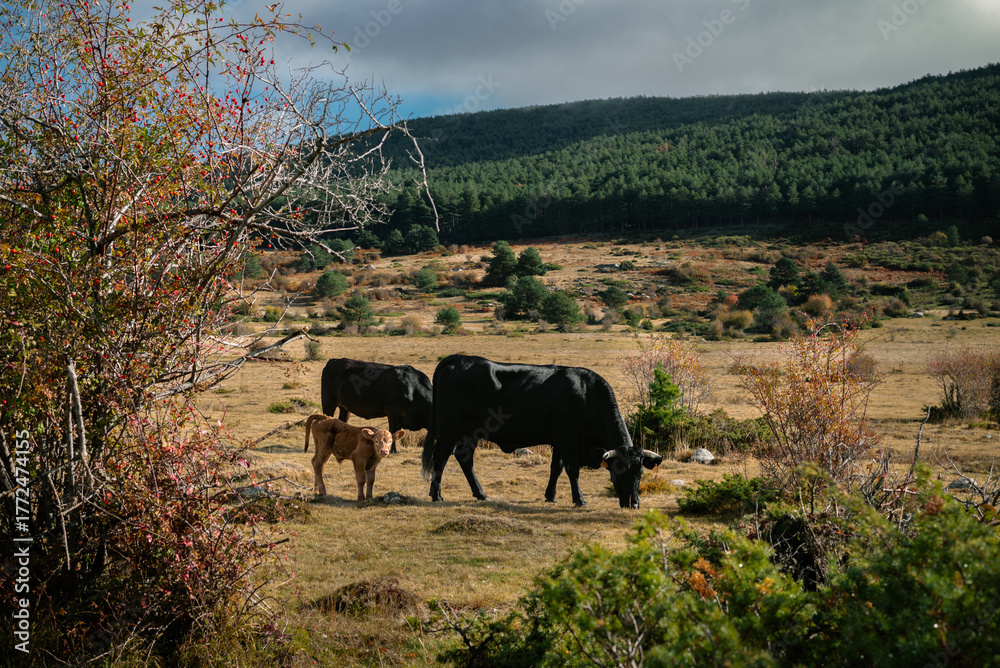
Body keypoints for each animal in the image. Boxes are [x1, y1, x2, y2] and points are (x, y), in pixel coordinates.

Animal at [421, 354, 662, 509]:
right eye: (619, 471)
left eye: (640, 473)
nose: (634, 504)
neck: (587, 394)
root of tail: (457, 358)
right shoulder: (568, 438)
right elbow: (572, 470)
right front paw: (580, 500)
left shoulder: (559, 441)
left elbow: (556, 468)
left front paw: (551, 496)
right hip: (450, 429)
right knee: (440, 457)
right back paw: (436, 495)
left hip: (471, 432)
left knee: (465, 457)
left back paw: (481, 494)